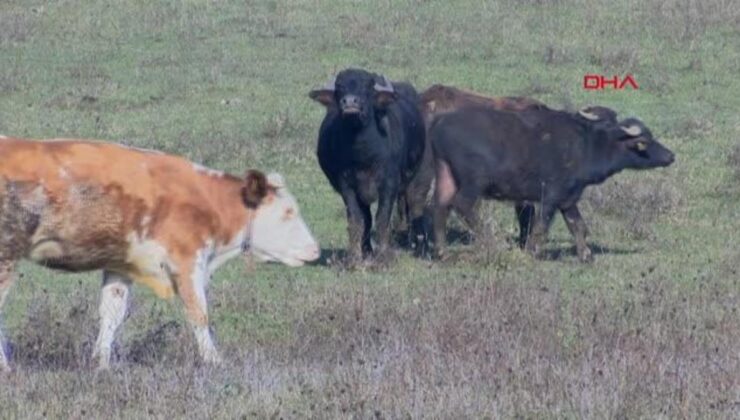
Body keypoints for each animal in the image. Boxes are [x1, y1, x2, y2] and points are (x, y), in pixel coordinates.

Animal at [0, 136, 318, 370]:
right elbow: (199, 314)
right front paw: (214, 361)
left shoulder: (120, 265)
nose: (315, 250)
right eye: (288, 212)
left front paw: (101, 364)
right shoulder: (187, 261)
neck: (207, 201)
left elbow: (111, 314)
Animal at [308, 67, 434, 260]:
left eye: (367, 87)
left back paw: (418, 245)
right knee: (367, 218)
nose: (350, 102)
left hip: (418, 177)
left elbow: (382, 219)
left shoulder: (389, 184)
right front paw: (354, 257)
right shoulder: (347, 186)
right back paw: (367, 249)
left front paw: (383, 256)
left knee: (414, 207)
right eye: (339, 87)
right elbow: (357, 220)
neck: (363, 156)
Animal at [428, 106, 676, 260]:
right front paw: (533, 251)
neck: (589, 145)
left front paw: (586, 255)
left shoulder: (569, 198)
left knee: (440, 207)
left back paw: (443, 252)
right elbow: (542, 227)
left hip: (445, 175)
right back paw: (491, 241)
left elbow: (578, 226)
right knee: (462, 205)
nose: (671, 155)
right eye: (645, 141)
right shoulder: (552, 196)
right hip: (474, 183)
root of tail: (440, 124)